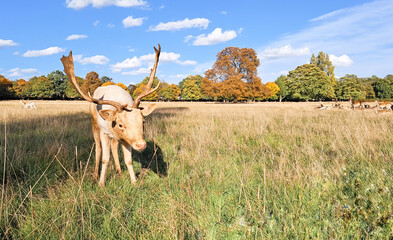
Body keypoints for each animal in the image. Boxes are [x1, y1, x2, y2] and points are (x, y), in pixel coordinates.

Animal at [60, 45, 161, 188]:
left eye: (143, 121)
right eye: (120, 124)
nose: (141, 145)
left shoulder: (125, 138)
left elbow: (128, 160)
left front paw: (134, 182)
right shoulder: (104, 132)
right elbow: (105, 159)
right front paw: (101, 184)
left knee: (114, 146)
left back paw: (119, 171)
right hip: (94, 125)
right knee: (98, 148)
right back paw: (96, 175)